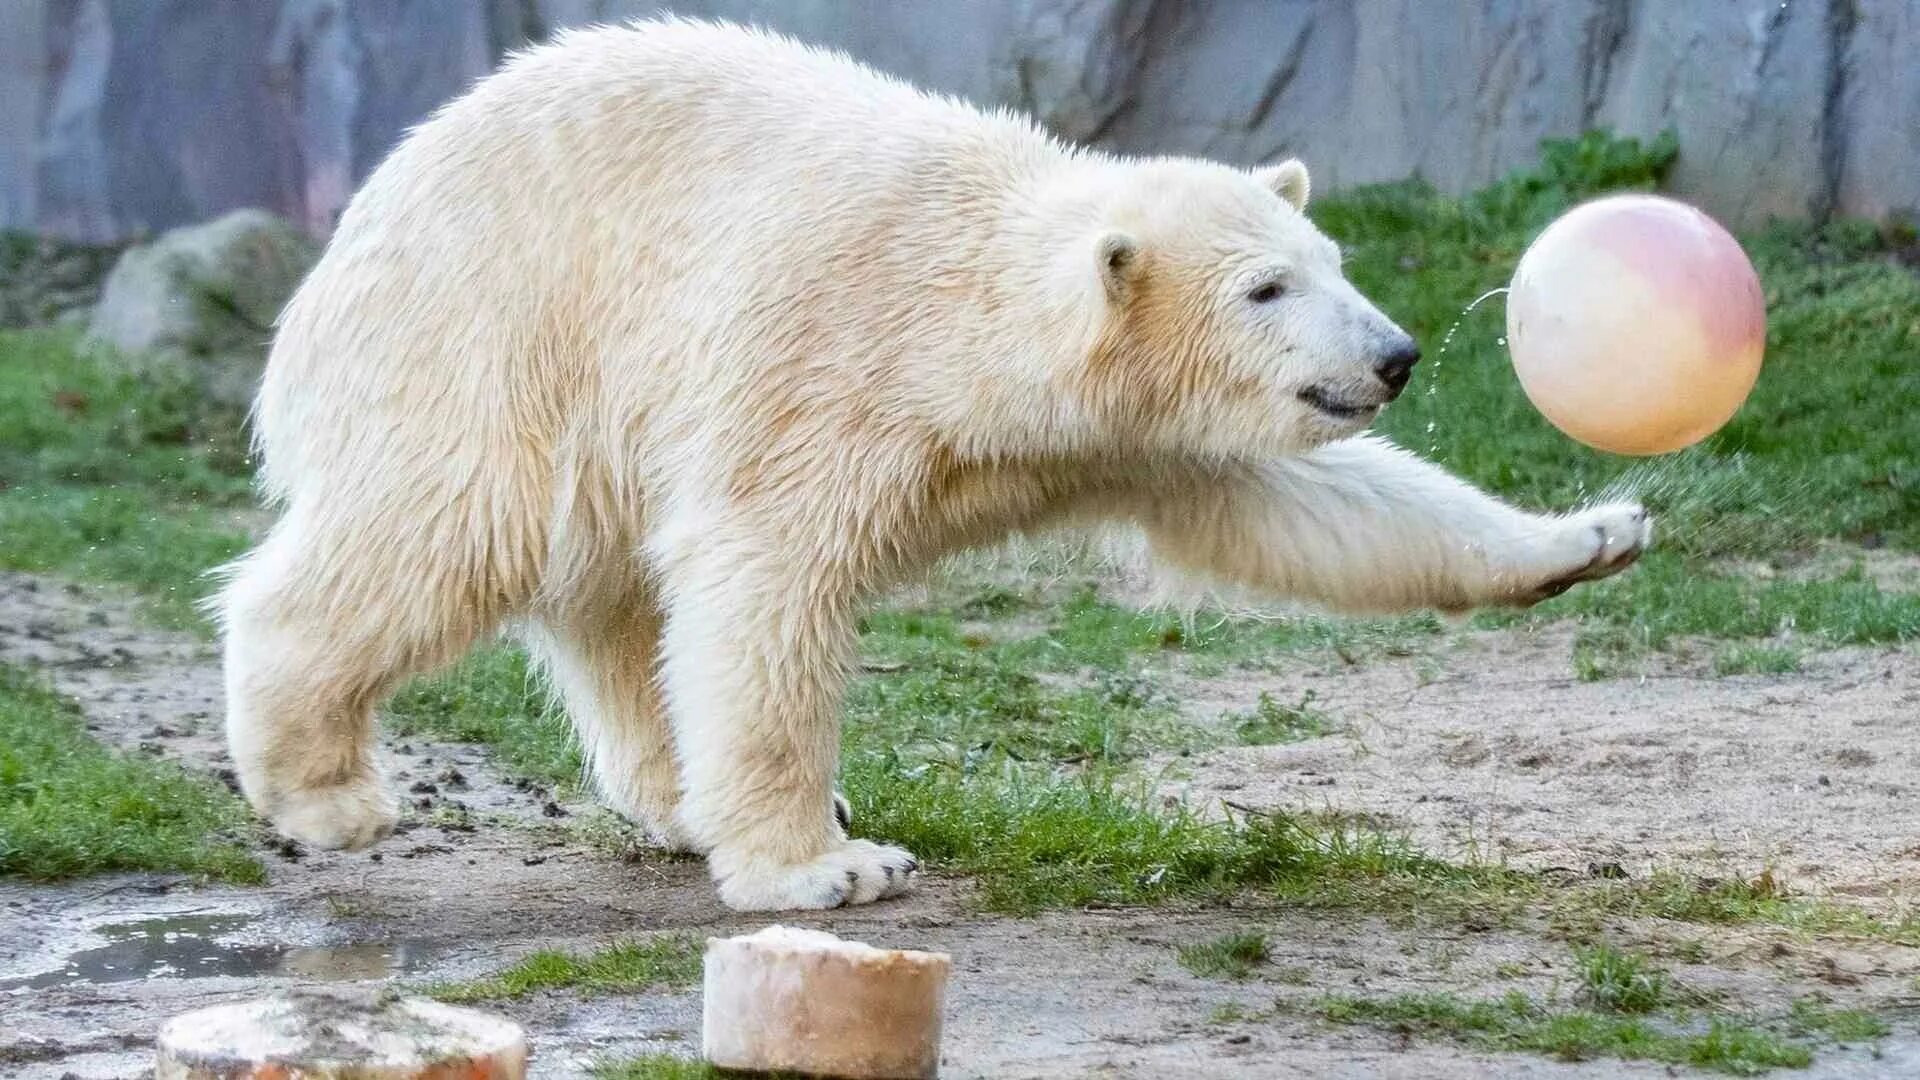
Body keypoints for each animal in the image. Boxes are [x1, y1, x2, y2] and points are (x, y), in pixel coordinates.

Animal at [210, 18, 1651, 907]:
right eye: (1265, 287)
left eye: (1334, 263)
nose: (1396, 355)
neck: (959, 322)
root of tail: (336, 258)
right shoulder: (815, 376)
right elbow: (765, 589)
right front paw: (822, 870)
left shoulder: (1136, 434)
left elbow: (1307, 505)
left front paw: (1592, 534)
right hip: (496, 340)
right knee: (438, 537)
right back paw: (325, 791)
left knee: (614, 606)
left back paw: (675, 800)